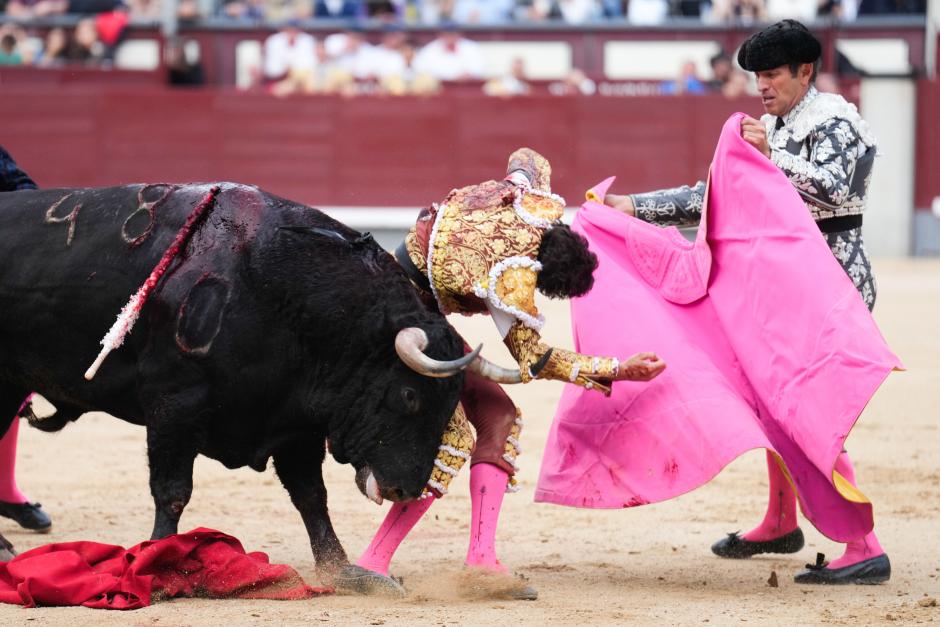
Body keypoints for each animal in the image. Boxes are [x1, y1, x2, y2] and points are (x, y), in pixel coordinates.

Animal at [0, 183, 466, 568]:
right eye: (410, 396)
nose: (407, 491)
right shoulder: (174, 404)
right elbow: (172, 491)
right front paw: (158, 559)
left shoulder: (295, 422)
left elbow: (311, 496)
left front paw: (340, 569)